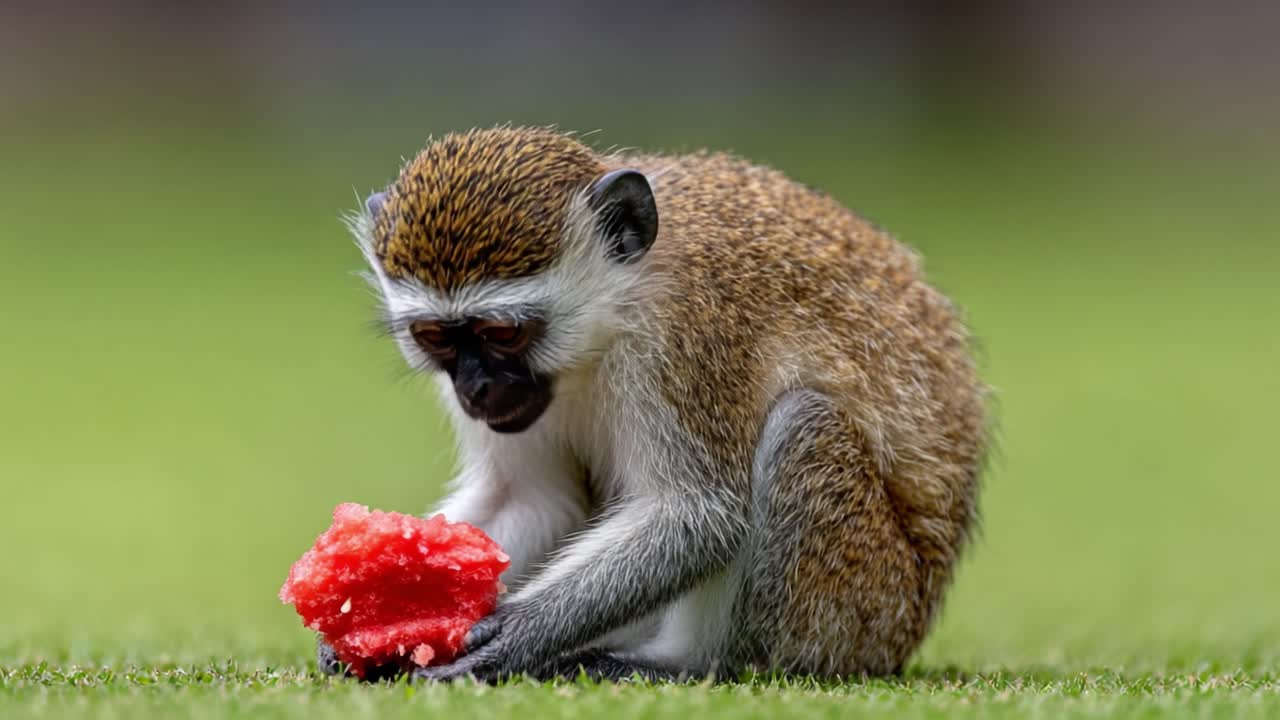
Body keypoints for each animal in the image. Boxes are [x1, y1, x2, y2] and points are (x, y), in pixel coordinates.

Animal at [330, 126, 989, 683]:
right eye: (437, 338)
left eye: (502, 334)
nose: (476, 390)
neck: (611, 319)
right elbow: (534, 497)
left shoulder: (688, 335)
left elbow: (698, 513)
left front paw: (513, 635)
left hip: (867, 610)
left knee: (802, 424)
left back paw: (688, 664)